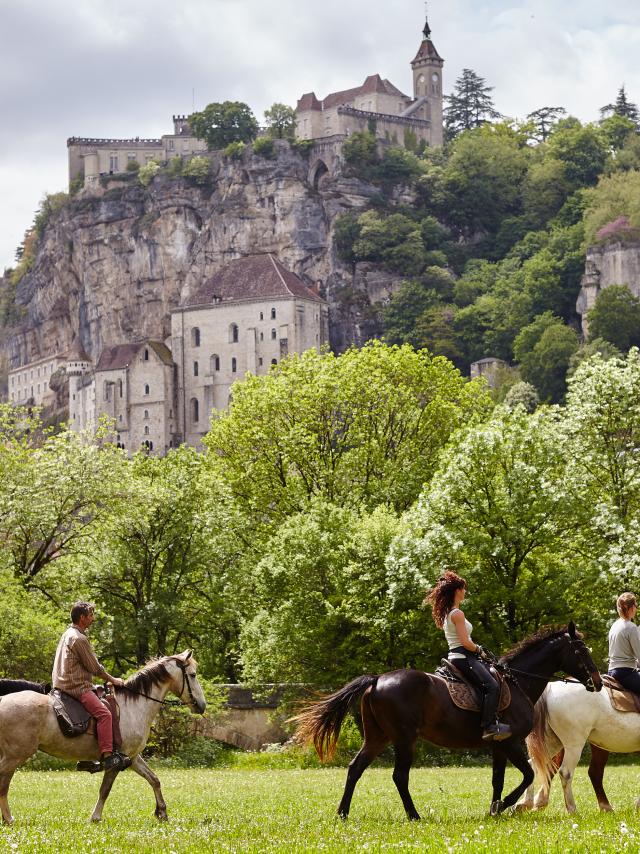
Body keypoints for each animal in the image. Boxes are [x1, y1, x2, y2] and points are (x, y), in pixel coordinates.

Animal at [0, 652, 205, 824]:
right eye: (193, 675)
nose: (202, 706)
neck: (134, 706)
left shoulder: (132, 757)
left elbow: (154, 779)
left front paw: (161, 812)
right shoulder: (116, 761)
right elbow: (105, 790)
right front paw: (96, 817)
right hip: (15, 756)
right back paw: (9, 819)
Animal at [296, 624, 600, 820]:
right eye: (581, 651)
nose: (597, 682)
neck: (517, 683)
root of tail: (377, 679)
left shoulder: (498, 746)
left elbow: (498, 780)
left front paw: (494, 810)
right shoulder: (512, 742)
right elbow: (526, 775)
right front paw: (505, 806)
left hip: (377, 738)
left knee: (355, 768)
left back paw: (343, 813)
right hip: (404, 739)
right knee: (399, 776)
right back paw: (414, 815)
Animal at [520, 684, 640, 816]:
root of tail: (550, 689)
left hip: (552, 743)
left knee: (534, 765)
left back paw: (526, 802)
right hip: (574, 745)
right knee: (566, 773)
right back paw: (572, 810)